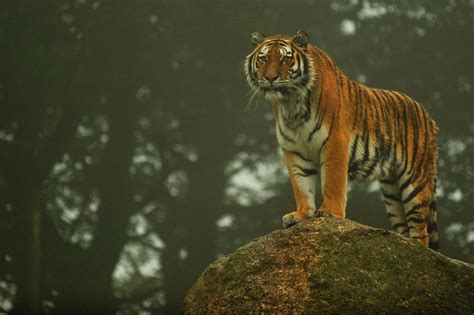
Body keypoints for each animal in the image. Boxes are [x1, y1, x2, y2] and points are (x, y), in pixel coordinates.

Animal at [244, 30, 440, 252]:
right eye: (263, 58)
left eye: (285, 59)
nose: (270, 78)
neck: (291, 103)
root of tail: (429, 118)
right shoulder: (294, 151)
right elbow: (301, 186)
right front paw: (301, 215)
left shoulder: (334, 142)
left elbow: (332, 181)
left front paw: (330, 212)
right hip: (392, 190)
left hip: (414, 181)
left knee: (421, 231)